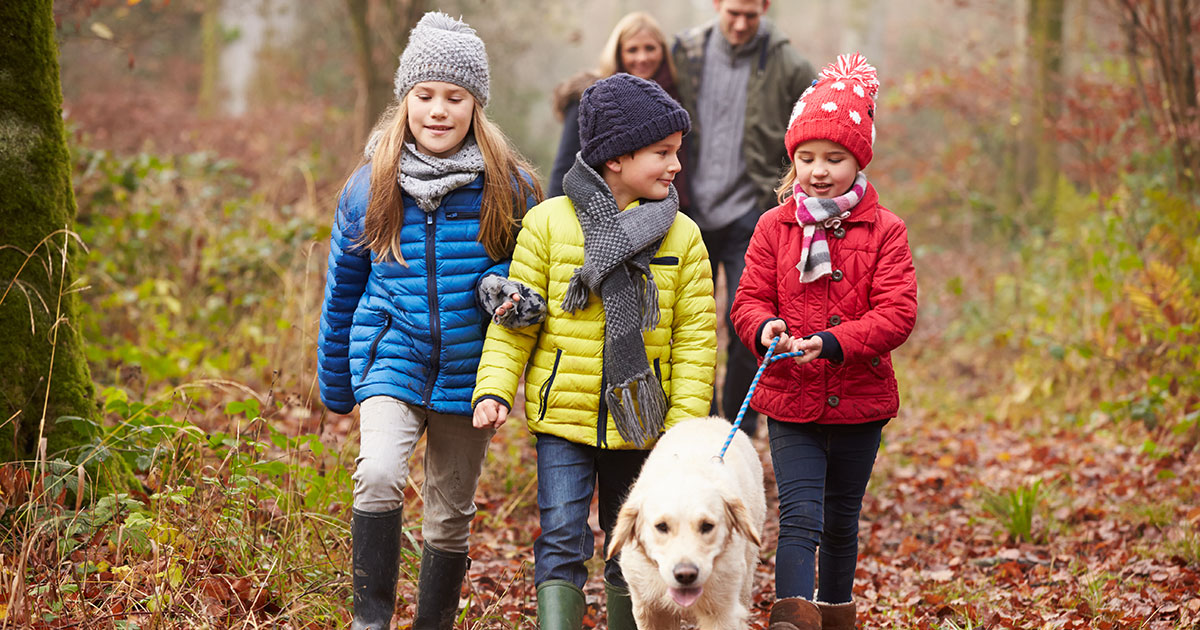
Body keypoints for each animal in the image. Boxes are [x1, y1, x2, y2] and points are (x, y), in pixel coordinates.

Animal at [604, 415, 763, 624]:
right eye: (661, 526)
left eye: (707, 526)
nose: (685, 575)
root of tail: (708, 419)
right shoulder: (649, 609)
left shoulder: (722, 612)